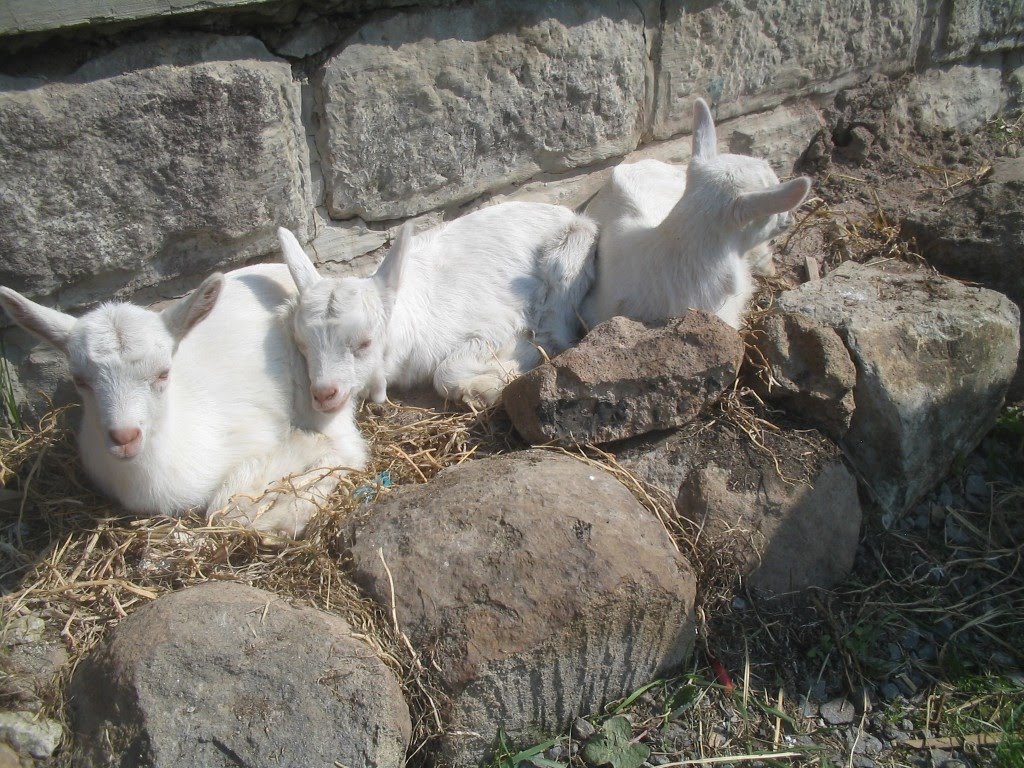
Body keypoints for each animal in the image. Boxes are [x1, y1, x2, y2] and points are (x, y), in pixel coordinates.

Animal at [279, 201, 597, 411]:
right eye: (302, 344)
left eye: (365, 342)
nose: (324, 393)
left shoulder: (500, 324)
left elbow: (445, 372)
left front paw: (492, 383)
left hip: (570, 254)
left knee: (557, 330)